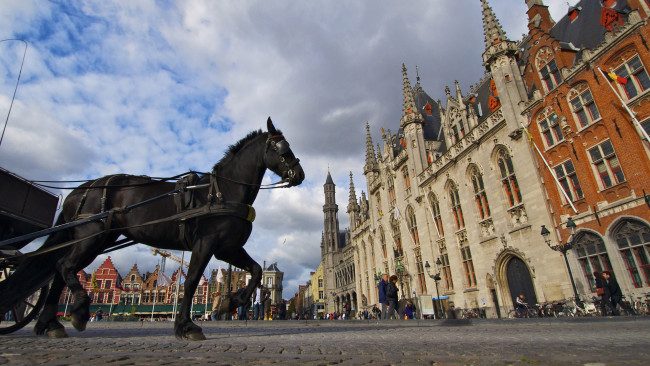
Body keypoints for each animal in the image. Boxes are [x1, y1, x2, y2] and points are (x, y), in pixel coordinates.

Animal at [0, 118, 304, 340]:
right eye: (282, 148)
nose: (299, 175)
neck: (222, 192)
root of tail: (79, 191)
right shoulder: (205, 244)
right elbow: (191, 282)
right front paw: (187, 326)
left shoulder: (227, 248)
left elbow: (255, 271)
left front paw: (231, 301)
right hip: (90, 238)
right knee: (64, 266)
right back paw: (78, 312)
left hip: (98, 238)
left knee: (58, 270)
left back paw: (51, 325)